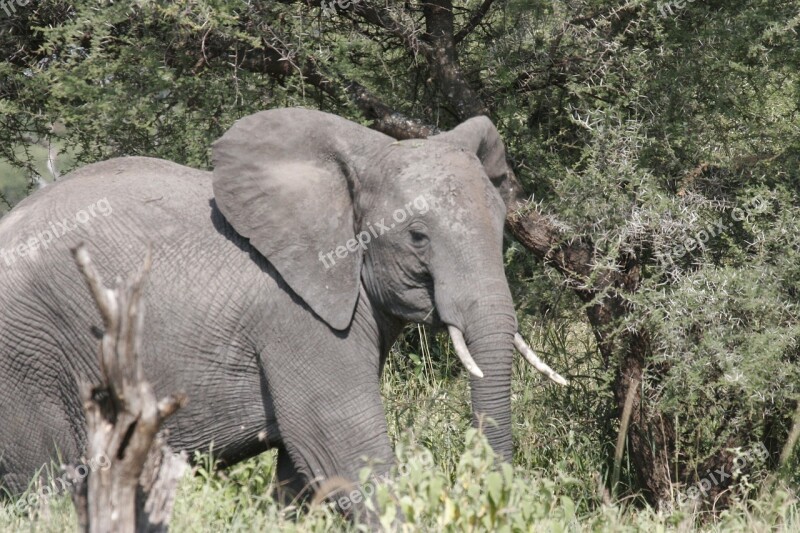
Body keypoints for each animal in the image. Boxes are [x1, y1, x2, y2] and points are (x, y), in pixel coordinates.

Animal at [0, 107, 564, 516]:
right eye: (417, 237)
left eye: (501, 225)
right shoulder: (297, 318)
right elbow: (340, 447)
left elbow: (302, 474)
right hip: (29, 355)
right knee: (50, 483)